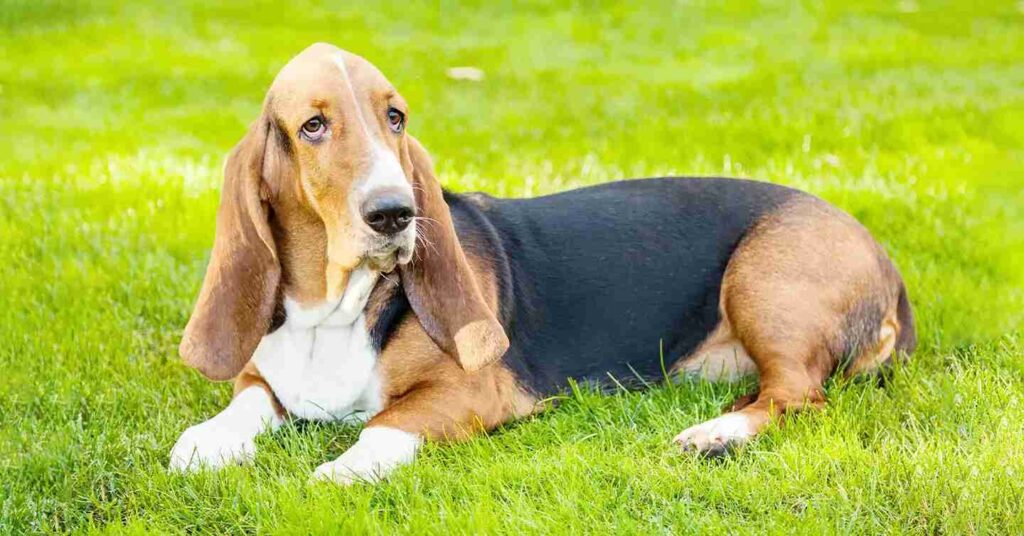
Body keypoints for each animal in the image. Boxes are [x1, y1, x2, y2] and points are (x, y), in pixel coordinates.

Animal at [169, 44, 921, 483]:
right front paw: (206, 441)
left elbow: (387, 425)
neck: (334, 308)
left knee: (800, 397)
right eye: (313, 126)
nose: (394, 213)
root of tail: (886, 260)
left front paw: (345, 468)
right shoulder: (268, 377)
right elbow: (248, 400)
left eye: (395, 118)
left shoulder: (474, 392)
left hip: (763, 279)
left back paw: (714, 434)